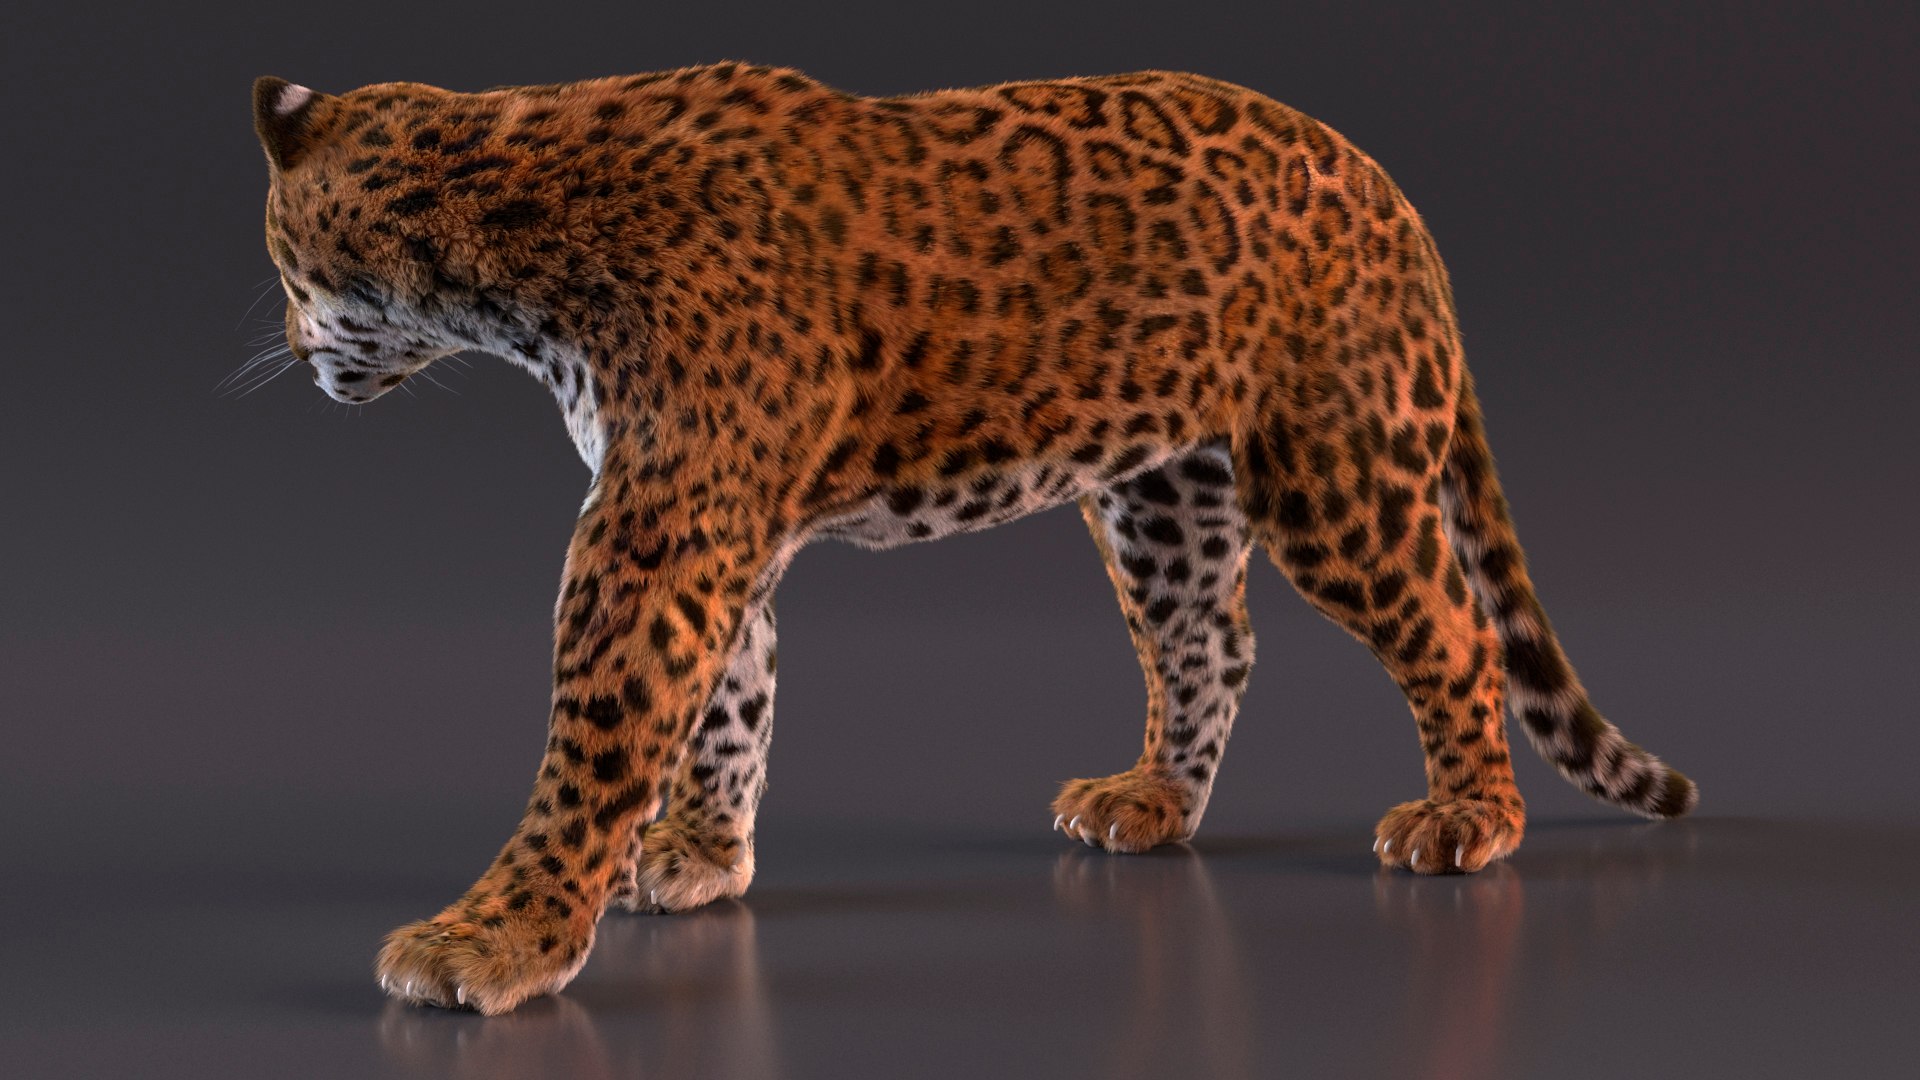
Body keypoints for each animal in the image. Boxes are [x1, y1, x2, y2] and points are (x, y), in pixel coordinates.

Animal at [248, 61, 1698, 1015]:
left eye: (278, 263)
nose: (295, 350)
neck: (508, 224)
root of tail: (1391, 190)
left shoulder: (654, 537)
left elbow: (598, 742)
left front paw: (498, 942)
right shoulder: (710, 524)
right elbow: (732, 700)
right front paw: (705, 857)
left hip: (1336, 473)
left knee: (1452, 629)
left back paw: (1469, 819)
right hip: (1164, 489)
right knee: (1210, 643)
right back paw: (1151, 801)